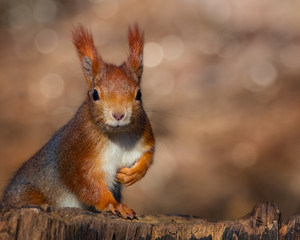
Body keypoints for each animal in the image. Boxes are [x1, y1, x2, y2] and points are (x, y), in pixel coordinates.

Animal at [2, 23, 156, 219]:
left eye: (139, 94)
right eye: (95, 94)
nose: (118, 115)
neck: (118, 134)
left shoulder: (143, 136)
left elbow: (148, 155)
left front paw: (132, 174)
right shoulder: (77, 153)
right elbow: (86, 183)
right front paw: (113, 205)